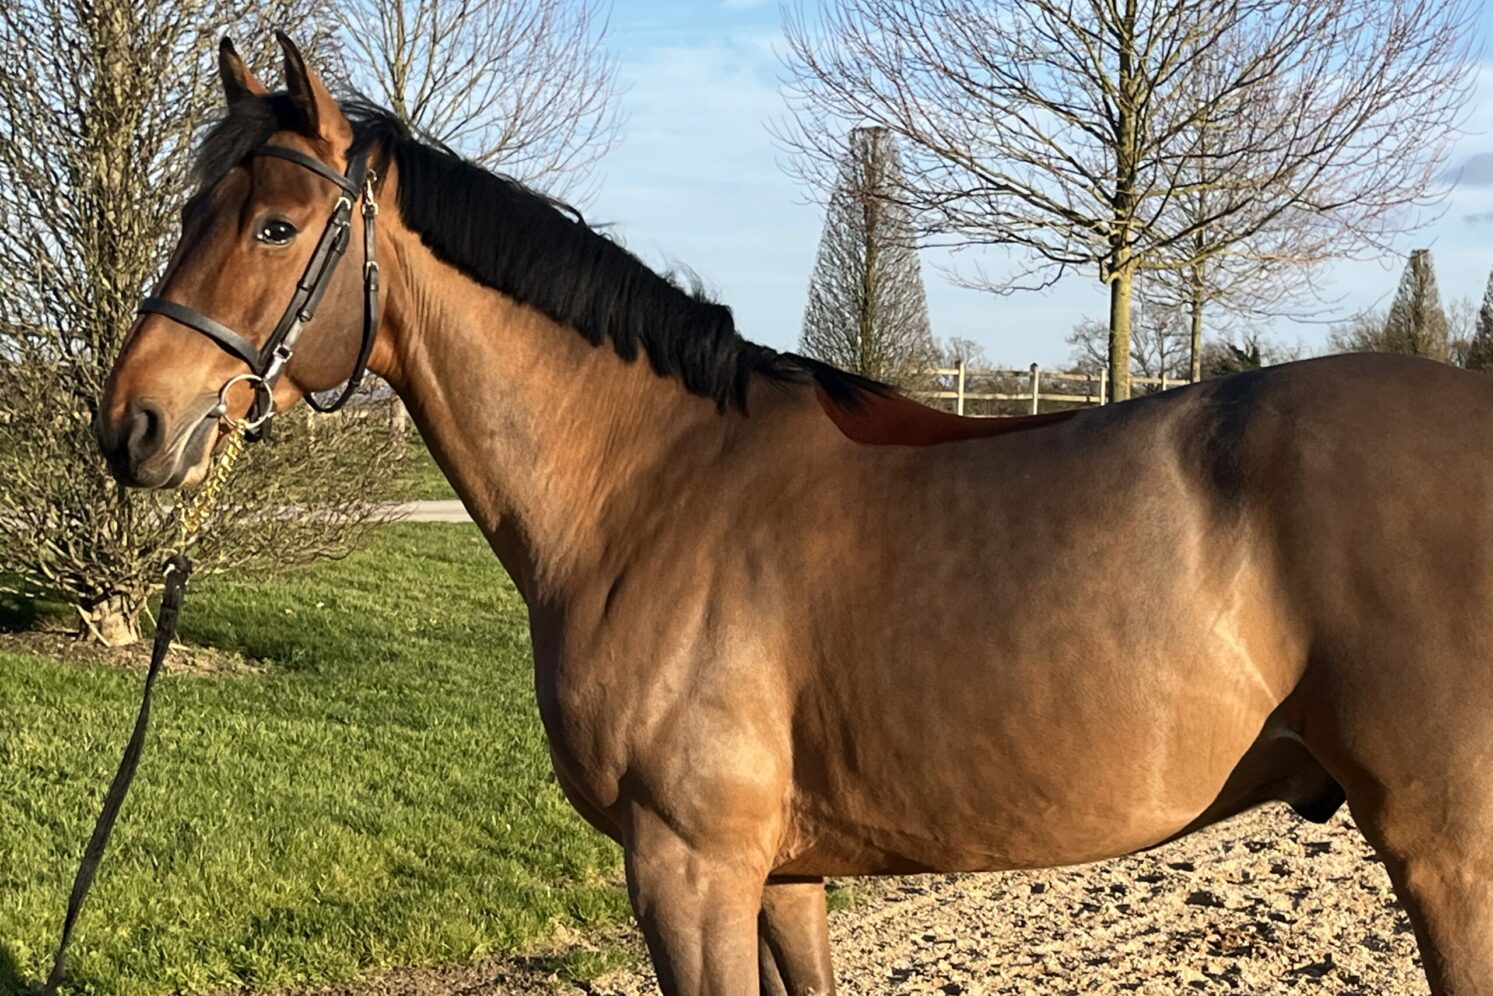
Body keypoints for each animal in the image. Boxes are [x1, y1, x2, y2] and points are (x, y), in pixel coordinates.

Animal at [95, 34, 1493, 996]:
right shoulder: (786, 875)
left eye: (276, 225)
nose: (135, 424)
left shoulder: (686, 869)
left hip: (1449, 854)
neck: (648, 486)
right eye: (191, 211)